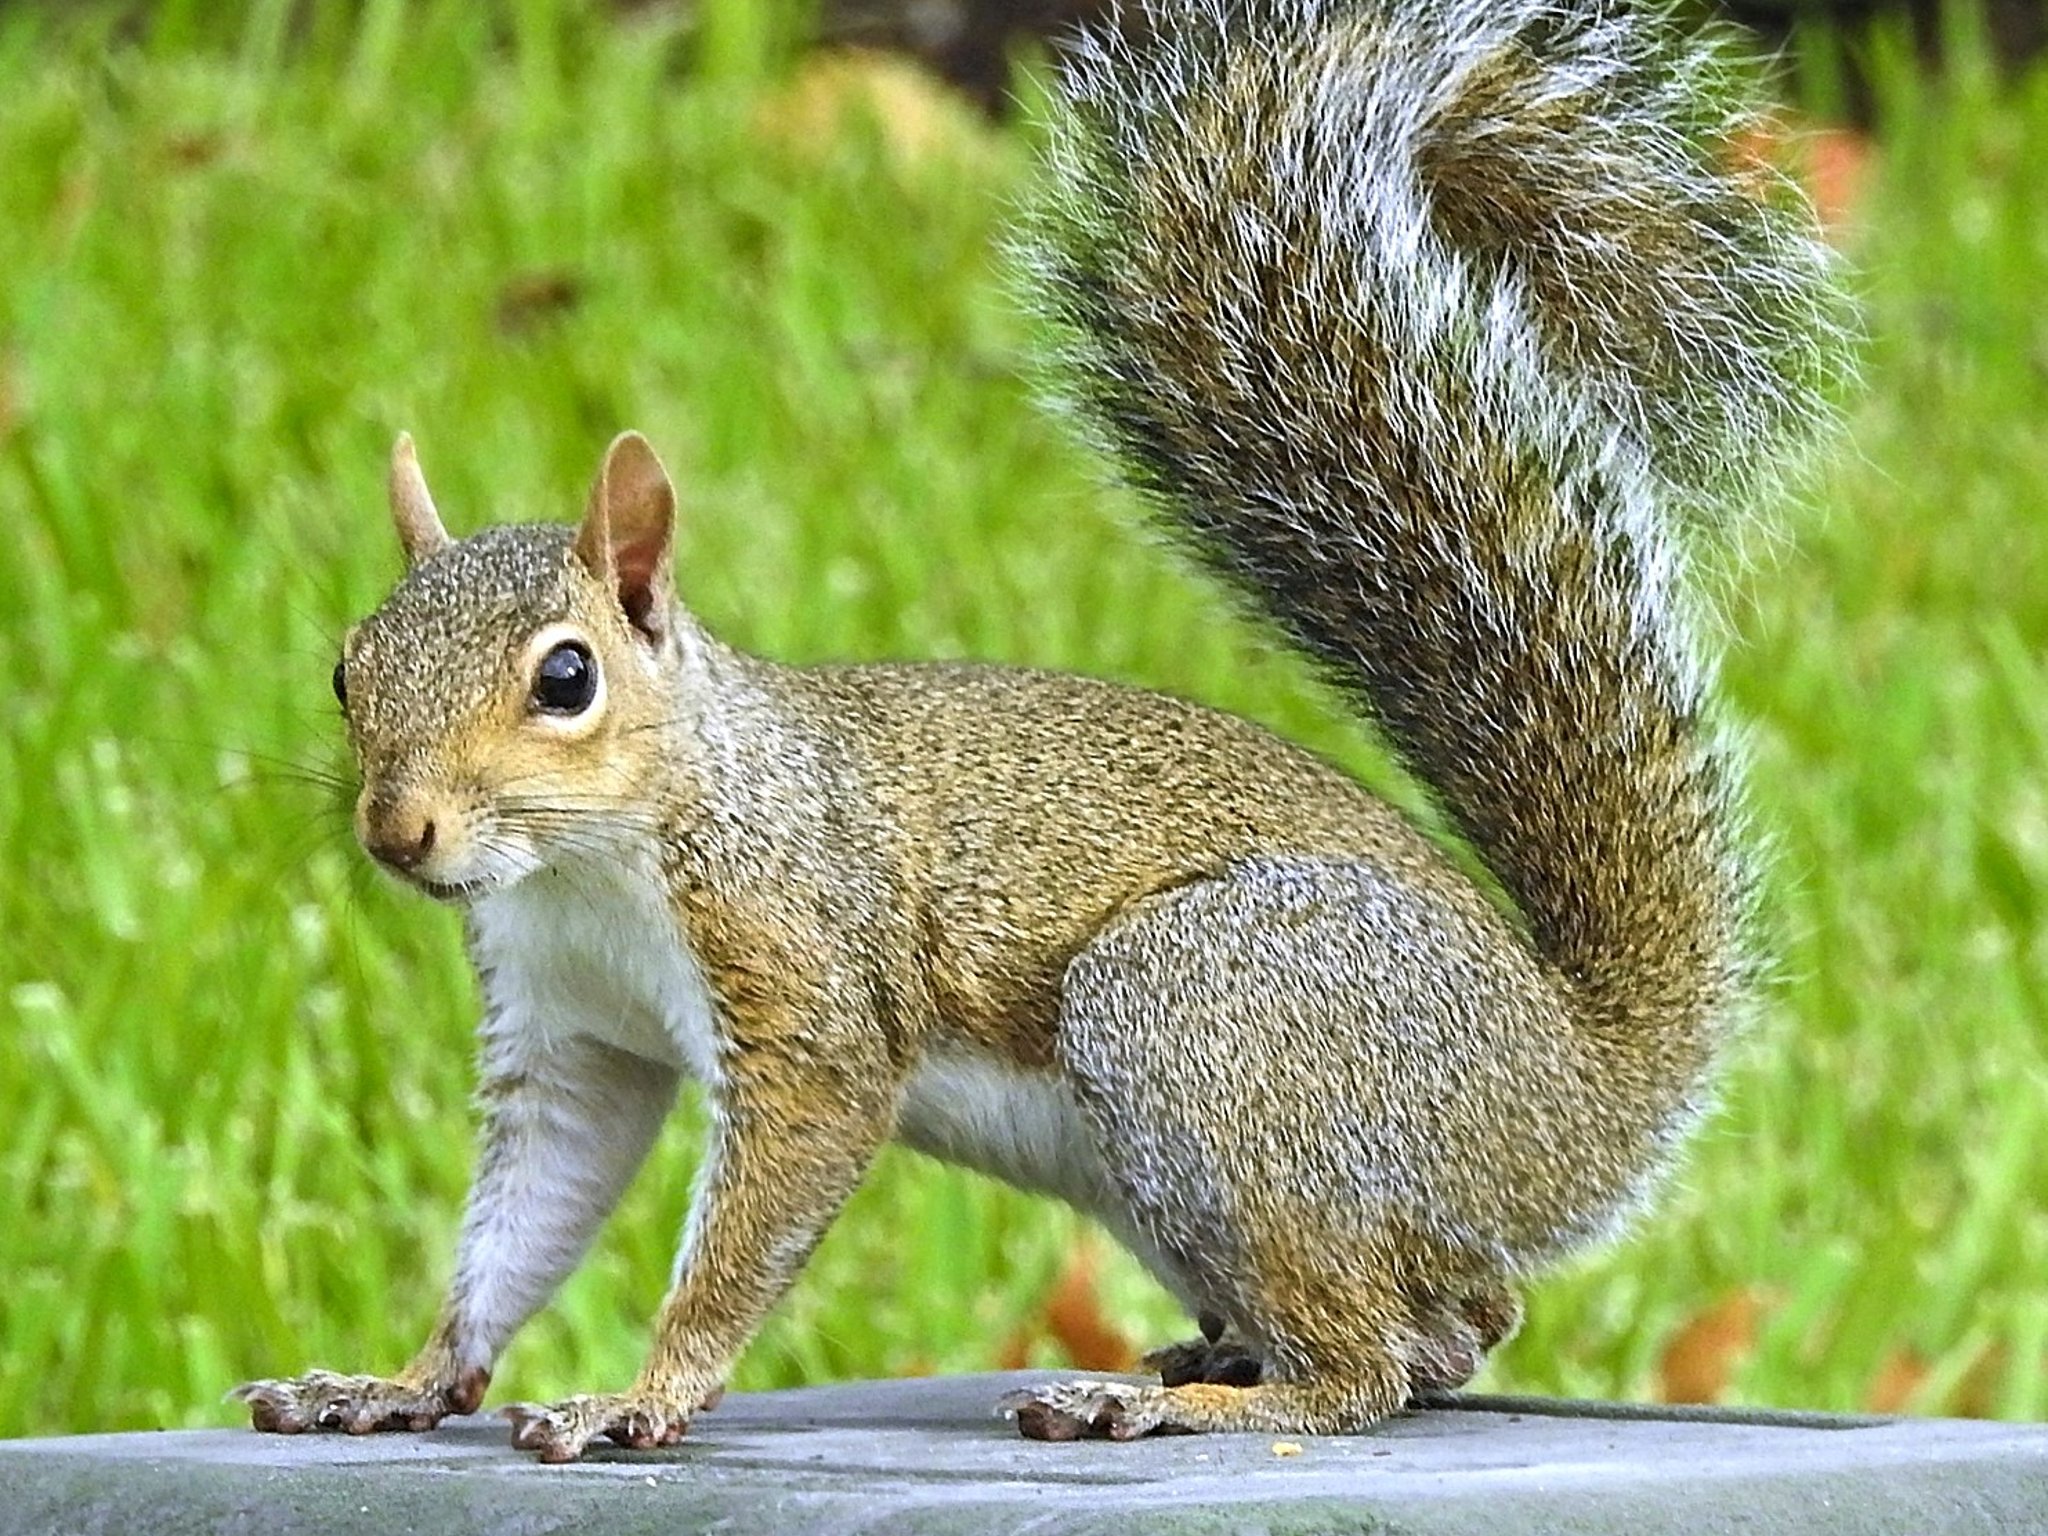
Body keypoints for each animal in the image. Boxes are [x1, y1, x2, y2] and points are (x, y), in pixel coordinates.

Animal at [235, 0, 1842, 1459]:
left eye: (565, 680)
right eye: (345, 669)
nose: (398, 831)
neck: (592, 856)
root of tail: (1573, 1096)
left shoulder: (802, 973)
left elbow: (757, 1216)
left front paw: (640, 1398)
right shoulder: (571, 1036)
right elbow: (526, 1217)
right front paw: (401, 1380)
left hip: (1208, 1016)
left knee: (1372, 1366)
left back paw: (1182, 1400)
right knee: (1452, 1328)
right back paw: (1214, 1357)